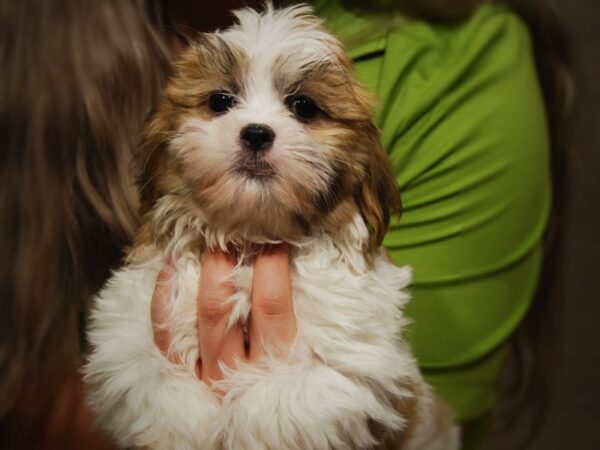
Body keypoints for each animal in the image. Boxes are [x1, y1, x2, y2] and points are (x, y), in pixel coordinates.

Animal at [84, 4, 458, 450]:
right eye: (220, 101)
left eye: (304, 107)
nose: (257, 133)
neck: (252, 236)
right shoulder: (130, 324)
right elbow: (149, 375)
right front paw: (186, 426)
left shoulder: (348, 356)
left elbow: (284, 398)